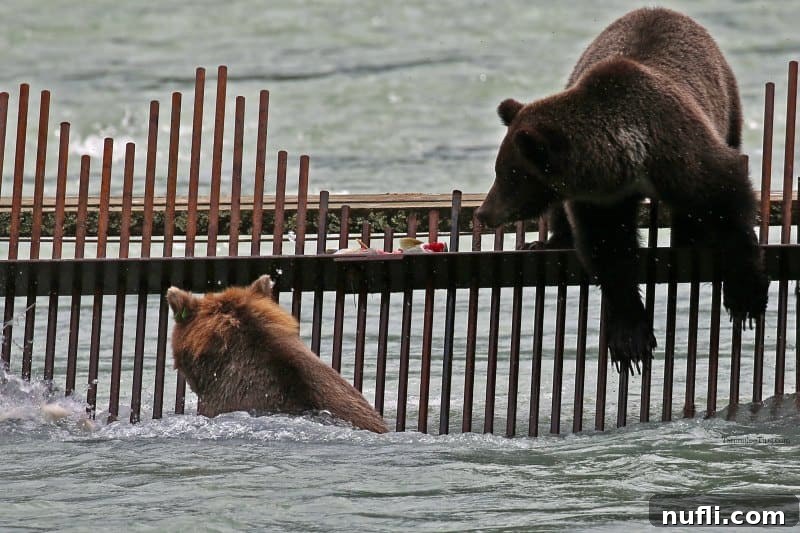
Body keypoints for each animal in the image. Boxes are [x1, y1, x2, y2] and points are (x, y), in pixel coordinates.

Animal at [475, 7, 768, 374]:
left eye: (508, 175)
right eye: (500, 171)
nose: (483, 212)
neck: (629, 160)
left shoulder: (680, 152)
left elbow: (725, 197)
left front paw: (746, 295)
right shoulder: (599, 198)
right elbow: (609, 249)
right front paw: (630, 340)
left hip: (726, 102)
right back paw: (548, 240)